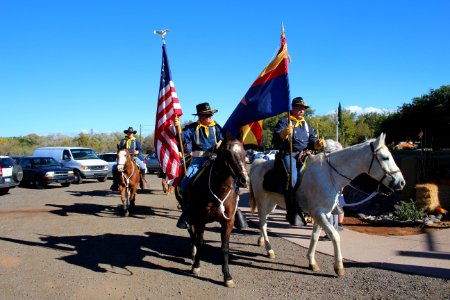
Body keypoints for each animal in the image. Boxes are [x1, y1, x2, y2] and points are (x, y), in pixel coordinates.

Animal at [180, 137, 250, 288]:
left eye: (244, 153)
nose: (244, 180)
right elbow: (200, 242)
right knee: (191, 232)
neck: (218, 190)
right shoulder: (200, 220)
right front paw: (196, 266)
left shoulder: (228, 222)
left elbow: (224, 248)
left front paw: (227, 276)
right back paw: (193, 253)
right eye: (228, 154)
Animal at [248, 134, 406, 276]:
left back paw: (261, 241)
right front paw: (339, 267)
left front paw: (311, 261)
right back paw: (269, 250)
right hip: (263, 202)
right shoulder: (318, 213)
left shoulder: (324, 213)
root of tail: (257, 164)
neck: (330, 175)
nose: (401, 182)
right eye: (385, 157)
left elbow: (315, 236)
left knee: (263, 222)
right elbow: (335, 236)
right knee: (262, 223)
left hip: (271, 204)